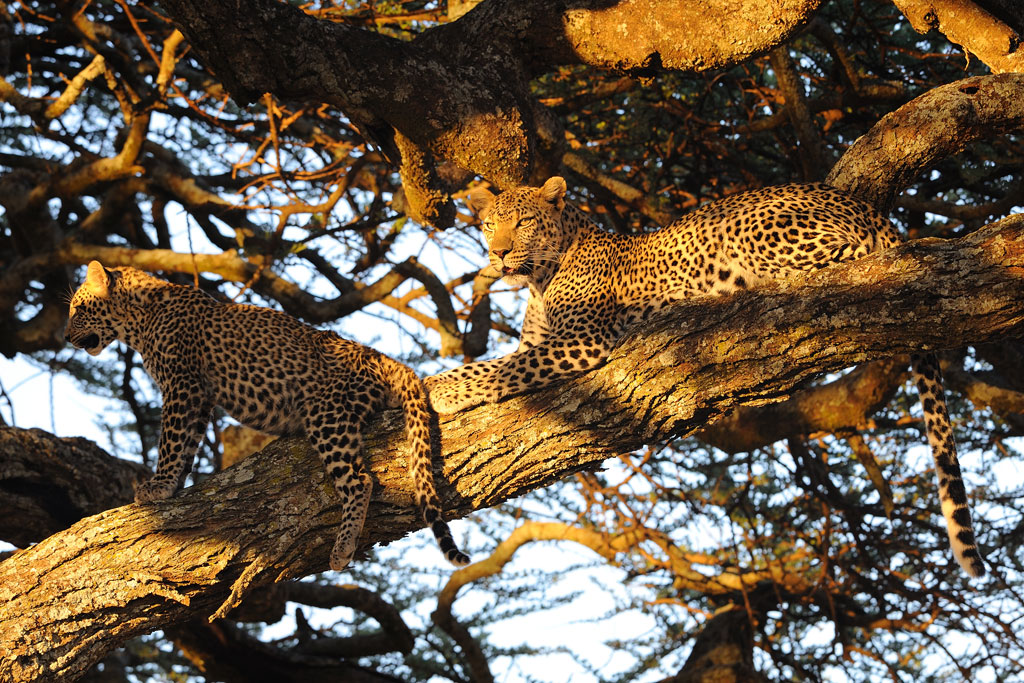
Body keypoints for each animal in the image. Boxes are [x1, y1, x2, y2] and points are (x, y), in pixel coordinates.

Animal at [65, 260, 469, 571]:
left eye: (79, 309)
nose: (66, 337)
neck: (140, 319)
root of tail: (379, 357)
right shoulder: (200, 398)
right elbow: (188, 446)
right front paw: (173, 485)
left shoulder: (182, 385)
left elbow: (171, 441)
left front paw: (157, 486)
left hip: (326, 416)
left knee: (359, 480)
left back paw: (342, 548)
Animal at [427, 176, 984, 578]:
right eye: (488, 225)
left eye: (523, 223)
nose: (498, 254)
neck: (540, 278)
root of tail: (867, 207)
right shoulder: (543, 342)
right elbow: (505, 361)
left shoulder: (581, 343)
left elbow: (497, 368)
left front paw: (440, 388)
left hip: (757, 229)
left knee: (847, 260)